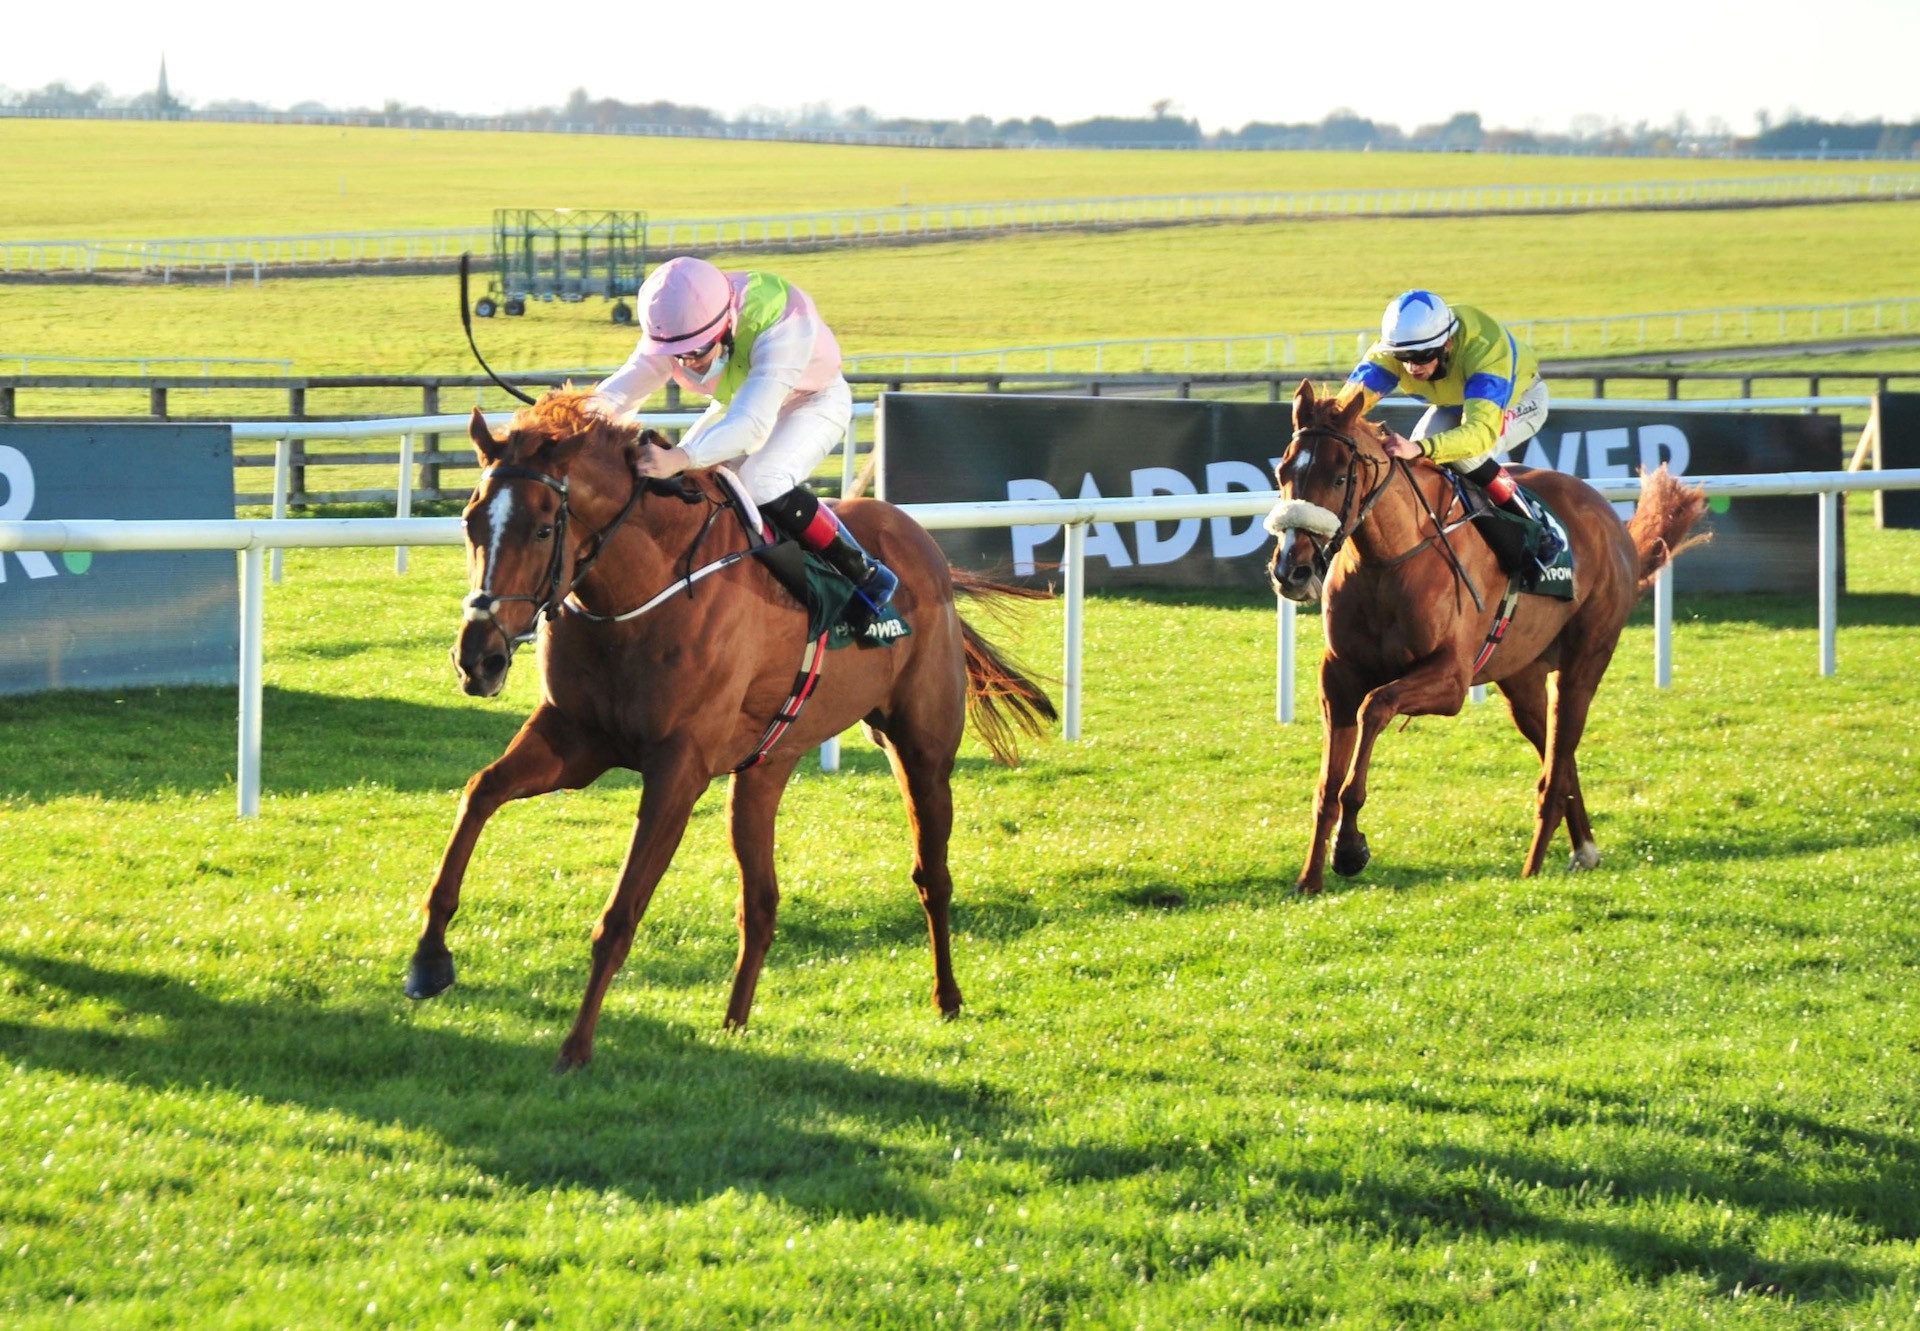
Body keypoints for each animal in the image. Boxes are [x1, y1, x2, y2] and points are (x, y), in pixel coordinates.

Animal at [410, 391, 1059, 1067]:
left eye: (542, 528)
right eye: (470, 522)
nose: (478, 658)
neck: (644, 593)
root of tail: (923, 544)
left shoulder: (678, 768)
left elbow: (621, 914)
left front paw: (576, 1046)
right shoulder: (574, 739)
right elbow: (480, 792)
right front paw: (430, 958)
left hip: (921, 750)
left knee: (932, 874)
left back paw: (948, 998)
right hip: (764, 768)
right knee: (763, 902)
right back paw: (734, 1022)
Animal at [1267, 374, 1704, 891]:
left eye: (1338, 478)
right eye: (1283, 472)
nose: (1291, 571)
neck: (1390, 561)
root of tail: (1612, 522)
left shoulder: (1451, 680)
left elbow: (1376, 708)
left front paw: (1352, 848)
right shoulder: (1338, 676)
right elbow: (1327, 785)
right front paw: (1310, 878)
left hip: (1585, 660)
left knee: (1556, 768)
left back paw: (1533, 868)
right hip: (1521, 677)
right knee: (1559, 755)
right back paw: (1584, 849)